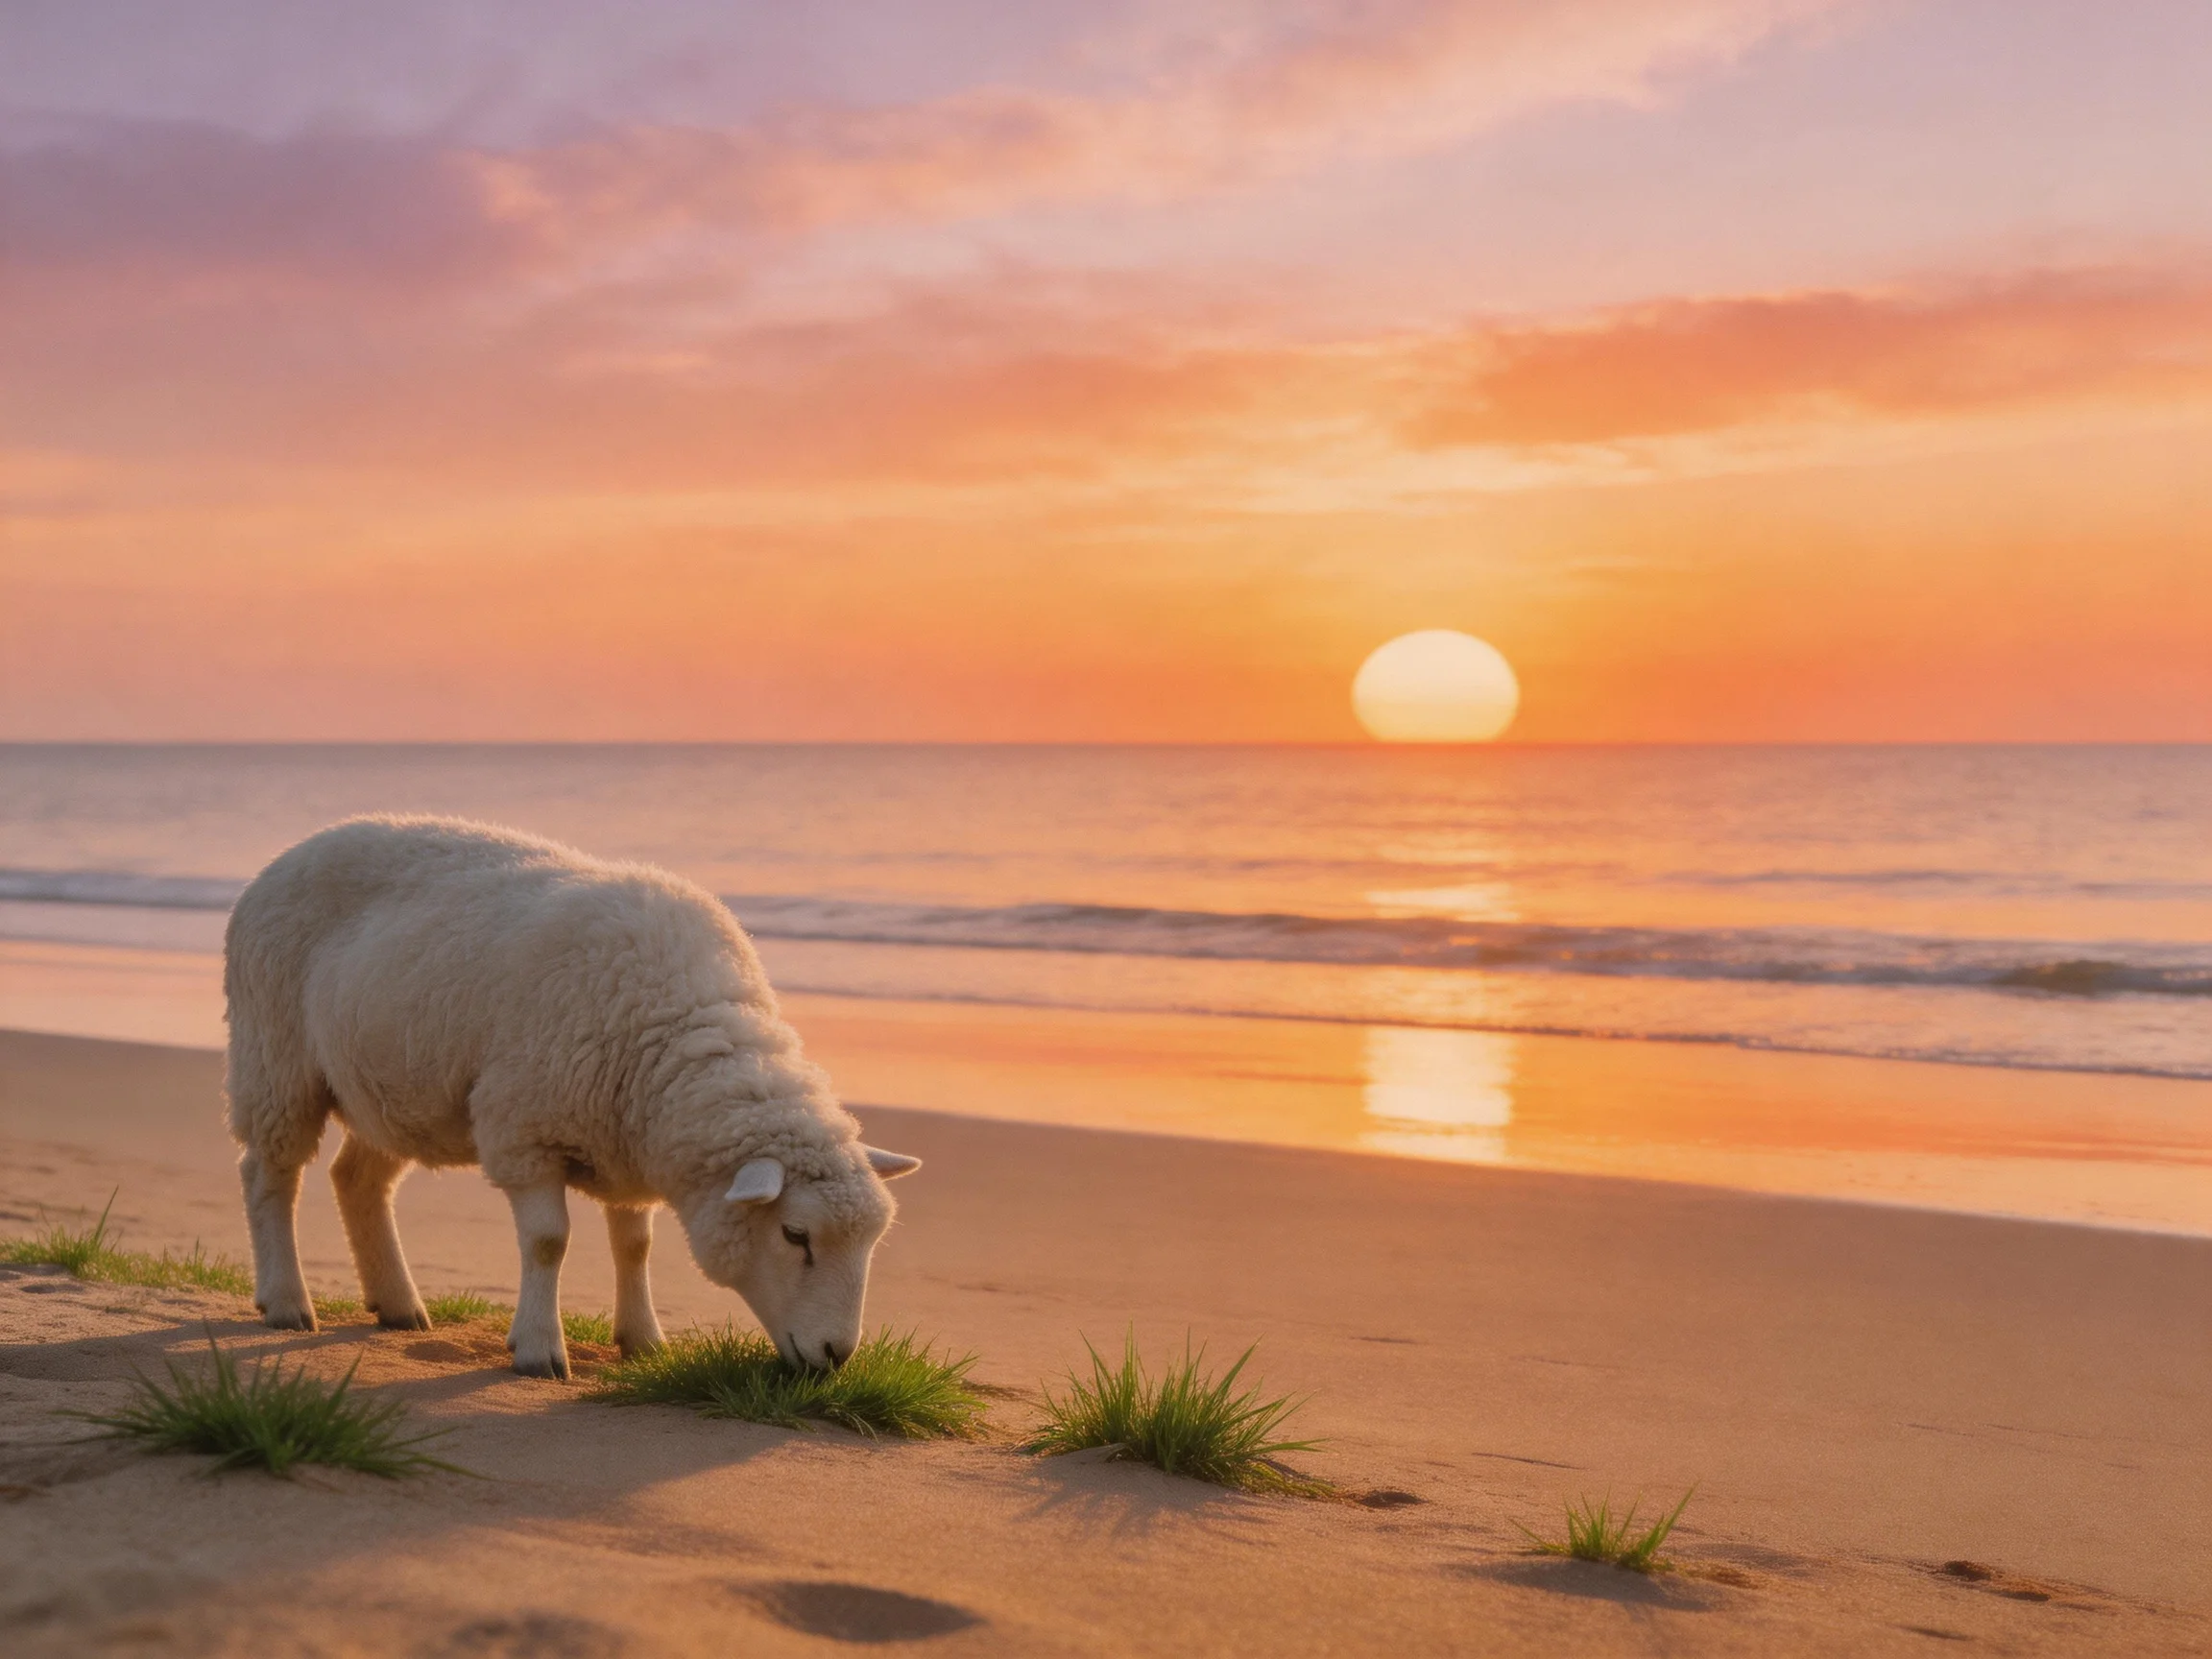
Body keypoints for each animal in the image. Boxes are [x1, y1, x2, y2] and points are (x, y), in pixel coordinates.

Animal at [222, 815, 920, 1378]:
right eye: (796, 1234)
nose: (837, 1356)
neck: (676, 1028)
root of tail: (290, 853)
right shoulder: (524, 1128)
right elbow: (548, 1242)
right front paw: (538, 1349)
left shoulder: (628, 1143)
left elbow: (634, 1245)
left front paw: (643, 1340)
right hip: (275, 1056)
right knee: (269, 1175)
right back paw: (286, 1301)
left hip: (394, 1087)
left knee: (357, 1179)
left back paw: (398, 1305)